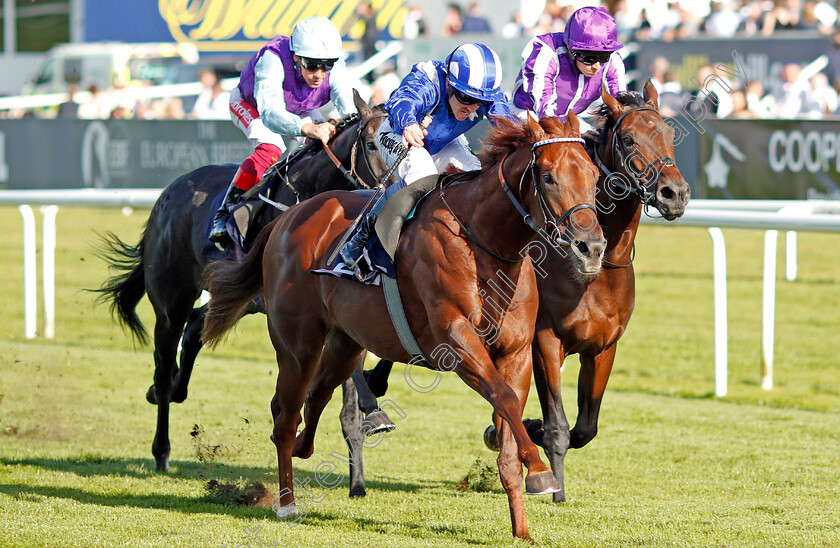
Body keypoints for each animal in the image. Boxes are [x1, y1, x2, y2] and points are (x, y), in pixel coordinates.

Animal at [94, 91, 390, 476]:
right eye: (371, 144)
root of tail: (168, 193)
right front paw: (373, 410)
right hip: (172, 298)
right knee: (165, 359)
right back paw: (161, 446)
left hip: (238, 297)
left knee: (195, 328)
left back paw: (170, 391)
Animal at [203, 112, 608, 540]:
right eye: (548, 177)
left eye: (593, 175)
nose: (591, 249)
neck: (485, 244)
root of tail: (284, 219)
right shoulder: (456, 343)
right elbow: (507, 401)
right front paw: (541, 471)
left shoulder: (514, 353)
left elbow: (507, 422)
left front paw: (522, 525)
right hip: (298, 344)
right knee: (285, 414)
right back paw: (286, 503)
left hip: (346, 344)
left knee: (316, 396)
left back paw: (303, 448)